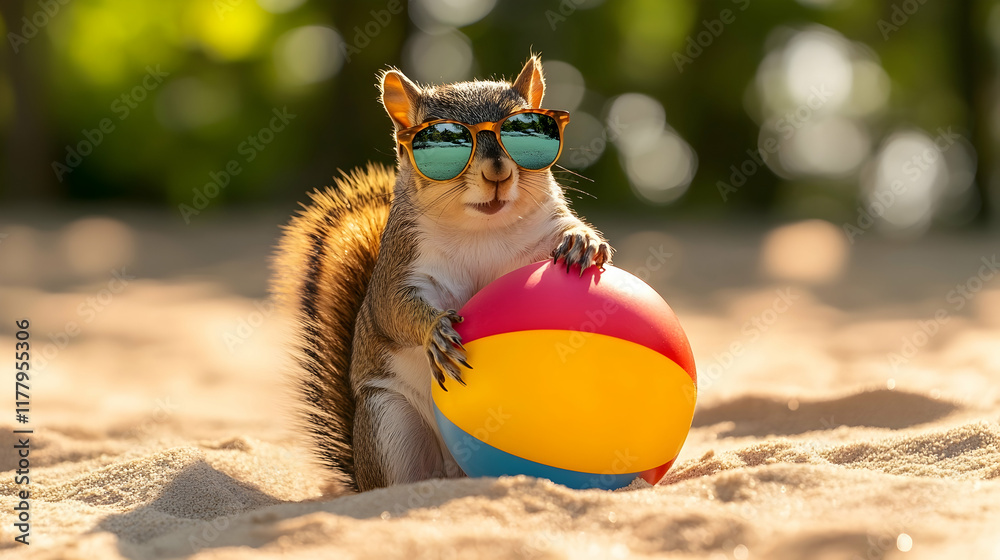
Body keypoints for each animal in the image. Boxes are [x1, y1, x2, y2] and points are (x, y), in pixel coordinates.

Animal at [272, 56, 613, 493]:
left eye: (529, 129)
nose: (497, 171)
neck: (483, 230)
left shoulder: (543, 229)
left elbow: (567, 230)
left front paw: (582, 240)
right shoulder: (401, 268)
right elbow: (393, 310)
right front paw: (435, 330)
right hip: (389, 420)